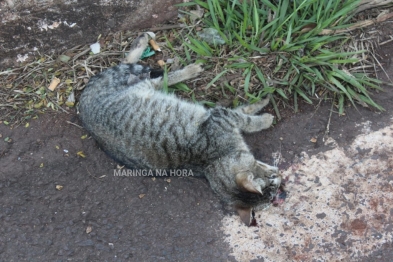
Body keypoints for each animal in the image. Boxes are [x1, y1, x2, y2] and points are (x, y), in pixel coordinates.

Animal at [78, 32, 280, 225]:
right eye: (271, 185)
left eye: (274, 191)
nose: (279, 178)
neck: (212, 161)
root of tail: (82, 103)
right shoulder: (221, 117)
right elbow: (246, 118)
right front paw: (264, 115)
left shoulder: (219, 115)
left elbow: (242, 110)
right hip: (139, 86)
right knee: (156, 76)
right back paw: (188, 68)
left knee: (128, 63)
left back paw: (143, 41)